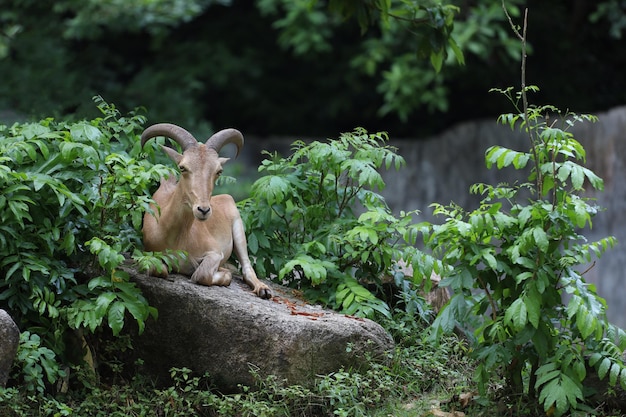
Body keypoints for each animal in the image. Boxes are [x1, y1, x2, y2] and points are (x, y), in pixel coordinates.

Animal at [141, 121, 270, 300]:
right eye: (182, 167)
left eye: (219, 171)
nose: (203, 209)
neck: (175, 239)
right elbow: (158, 270)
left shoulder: (215, 252)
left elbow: (202, 274)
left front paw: (222, 274)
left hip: (238, 228)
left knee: (247, 267)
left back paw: (263, 289)